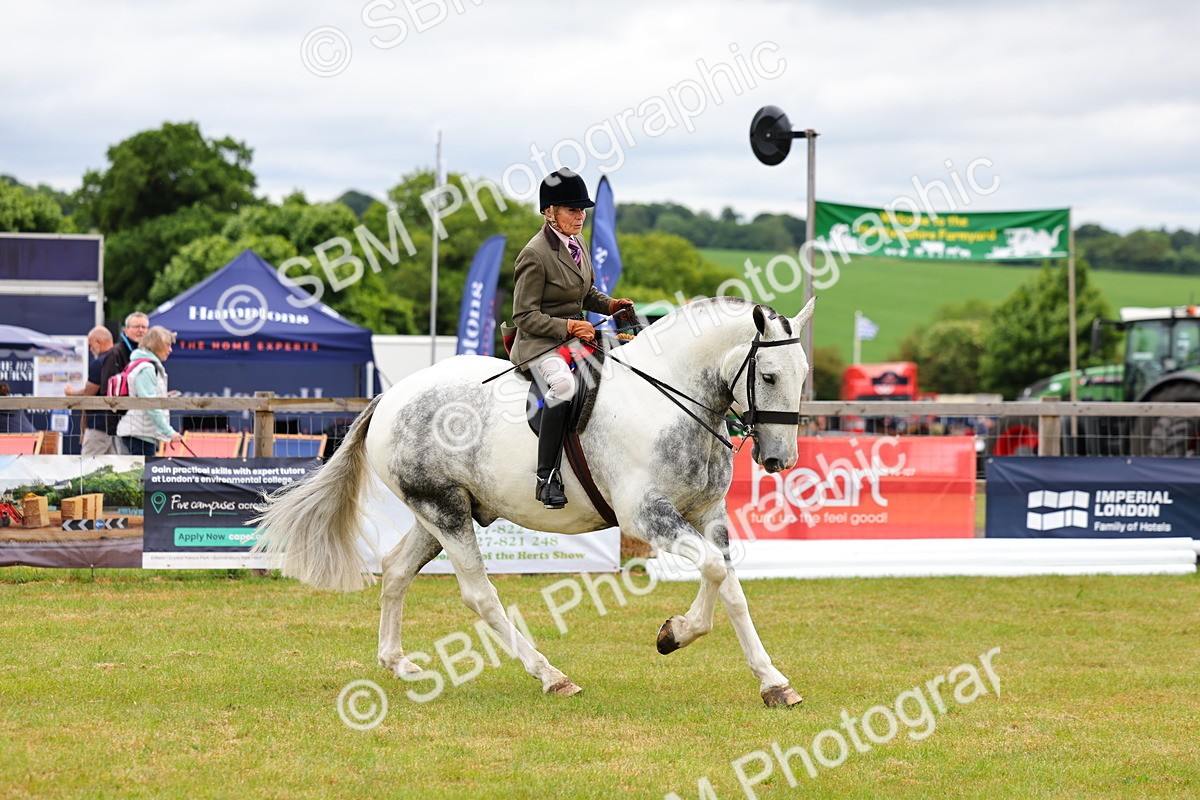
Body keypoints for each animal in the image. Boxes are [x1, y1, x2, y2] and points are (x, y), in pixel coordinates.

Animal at [252, 295, 815, 707]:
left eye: (804, 373)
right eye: (768, 376)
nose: (779, 460)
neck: (668, 400)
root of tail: (391, 396)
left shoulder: (707, 513)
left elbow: (729, 584)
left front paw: (769, 680)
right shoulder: (647, 516)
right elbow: (716, 573)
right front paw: (677, 635)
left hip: (437, 512)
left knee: (395, 570)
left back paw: (397, 662)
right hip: (445, 512)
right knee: (479, 595)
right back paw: (550, 675)